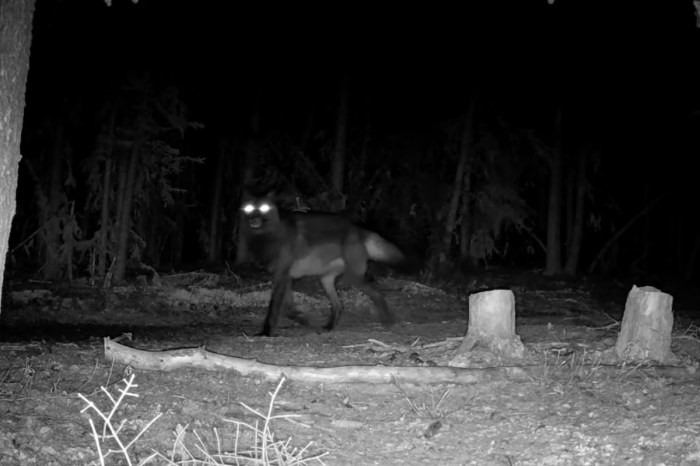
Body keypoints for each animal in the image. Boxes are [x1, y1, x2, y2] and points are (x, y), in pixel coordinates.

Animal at [237, 192, 405, 337]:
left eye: (264, 208)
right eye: (249, 208)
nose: (254, 219)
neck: (268, 238)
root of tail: (358, 228)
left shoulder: (282, 276)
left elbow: (274, 309)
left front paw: (266, 333)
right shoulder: (283, 278)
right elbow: (287, 309)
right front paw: (305, 321)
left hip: (352, 279)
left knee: (378, 295)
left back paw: (388, 322)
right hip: (326, 281)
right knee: (339, 305)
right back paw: (328, 327)